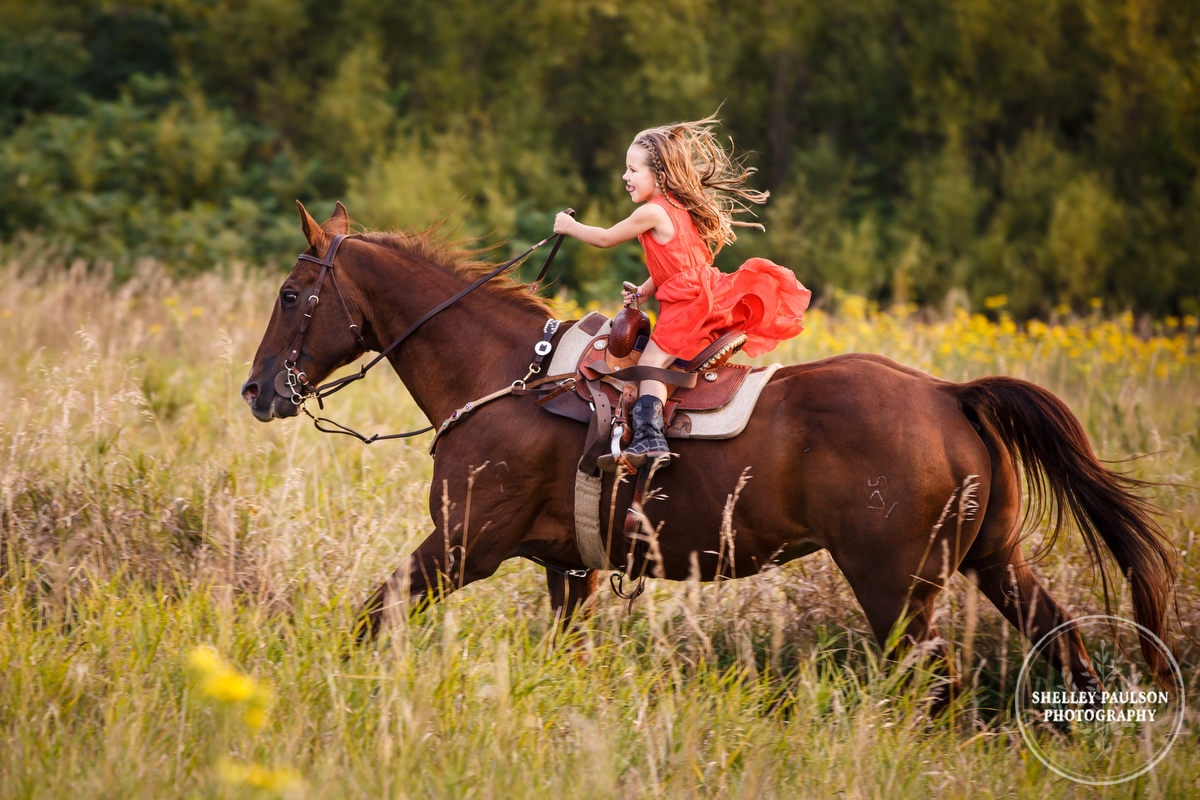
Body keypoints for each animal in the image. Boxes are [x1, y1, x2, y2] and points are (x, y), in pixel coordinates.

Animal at [241, 203, 1171, 705]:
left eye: (290, 294)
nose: (256, 391)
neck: (508, 376)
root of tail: (949, 395)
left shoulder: (462, 546)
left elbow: (371, 615)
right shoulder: (570, 572)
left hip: (897, 591)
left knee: (936, 686)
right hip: (996, 560)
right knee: (1067, 648)